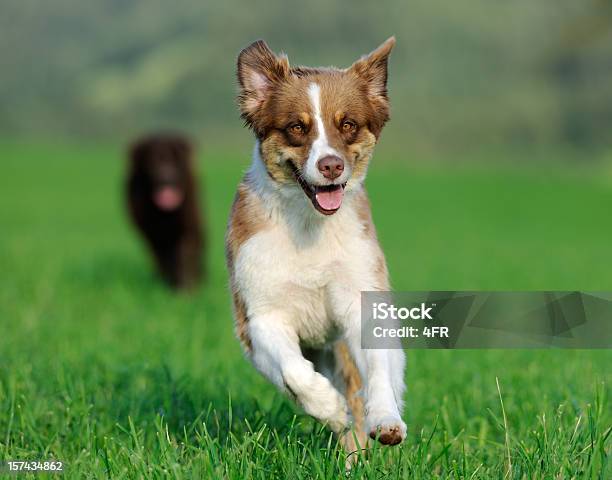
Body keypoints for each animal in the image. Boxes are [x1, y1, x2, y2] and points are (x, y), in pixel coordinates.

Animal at [126, 133, 206, 288]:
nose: (166, 179)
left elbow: (184, 256)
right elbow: (163, 258)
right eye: (152, 162)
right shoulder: (153, 234)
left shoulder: (186, 228)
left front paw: (185, 287)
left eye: (175, 160)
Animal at [225, 37, 406, 450]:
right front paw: (330, 407)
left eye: (348, 124)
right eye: (296, 127)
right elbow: (294, 372)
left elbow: (378, 370)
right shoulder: (259, 316)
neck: (310, 227)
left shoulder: (361, 297)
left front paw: (386, 420)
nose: (331, 165)